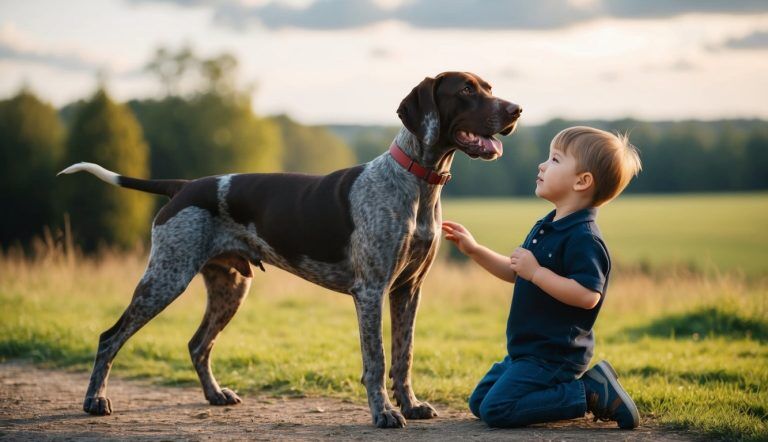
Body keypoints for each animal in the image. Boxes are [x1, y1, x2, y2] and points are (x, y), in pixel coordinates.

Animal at [60, 72, 520, 428]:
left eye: (489, 87)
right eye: (466, 90)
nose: (516, 110)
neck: (417, 184)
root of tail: (184, 186)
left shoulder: (408, 290)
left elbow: (403, 356)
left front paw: (410, 405)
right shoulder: (371, 291)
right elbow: (376, 360)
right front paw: (384, 413)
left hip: (230, 287)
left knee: (197, 344)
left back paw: (215, 395)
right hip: (165, 278)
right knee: (110, 337)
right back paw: (94, 400)